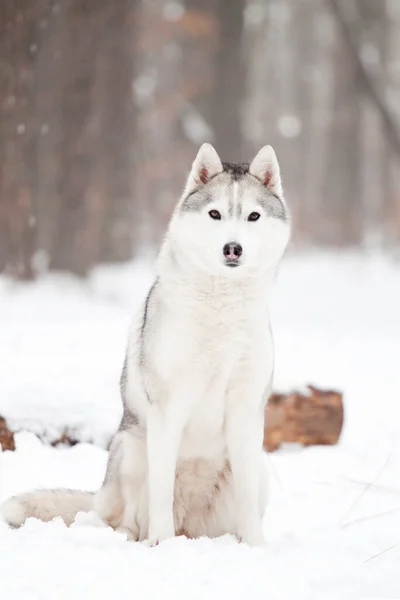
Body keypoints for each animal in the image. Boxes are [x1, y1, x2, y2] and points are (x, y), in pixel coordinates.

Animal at [2, 143, 290, 548]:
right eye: (215, 213)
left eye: (253, 216)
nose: (232, 248)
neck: (221, 308)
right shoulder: (168, 411)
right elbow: (161, 494)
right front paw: (164, 545)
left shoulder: (247, 413)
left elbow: (248, 504)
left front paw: (257, 549)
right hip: (133, 449)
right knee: (128, 521)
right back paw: (144, 539)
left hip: (258, 466)